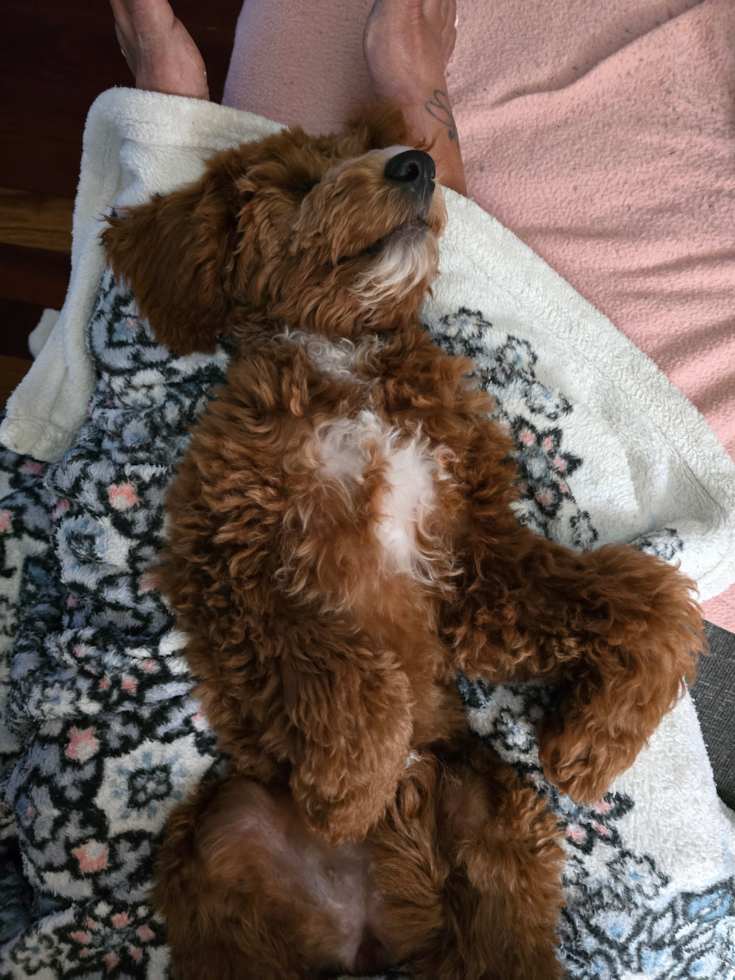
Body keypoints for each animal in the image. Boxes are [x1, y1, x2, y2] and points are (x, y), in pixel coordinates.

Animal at [102, 103, 700, 976]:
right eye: (299, 183)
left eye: (370, 149)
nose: (414, 163)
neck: (347, 358)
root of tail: (370, 927)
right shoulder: (232, 560)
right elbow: (347, 667)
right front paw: (353, 790)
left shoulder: (473, 558)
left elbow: (645, 598)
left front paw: (589, 744)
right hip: (225, 844)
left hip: (493, 828)